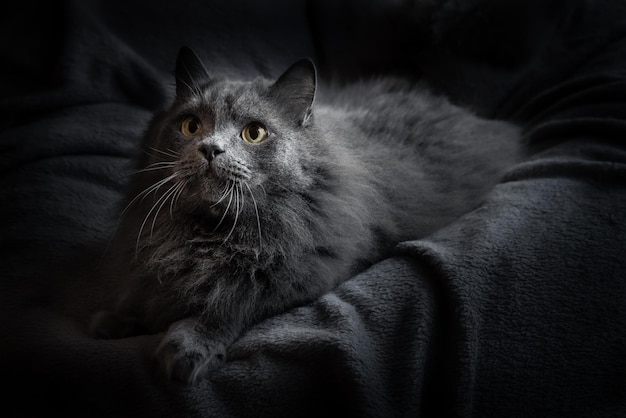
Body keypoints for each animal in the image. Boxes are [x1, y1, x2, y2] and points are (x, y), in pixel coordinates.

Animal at [90, 45, 520, 382]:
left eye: (254, 133)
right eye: (191, 126)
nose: (210, 149)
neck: (212, 231)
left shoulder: (304, 273)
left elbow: (234, 302)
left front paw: (188, 346)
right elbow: (145, 290)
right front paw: (114, 319)